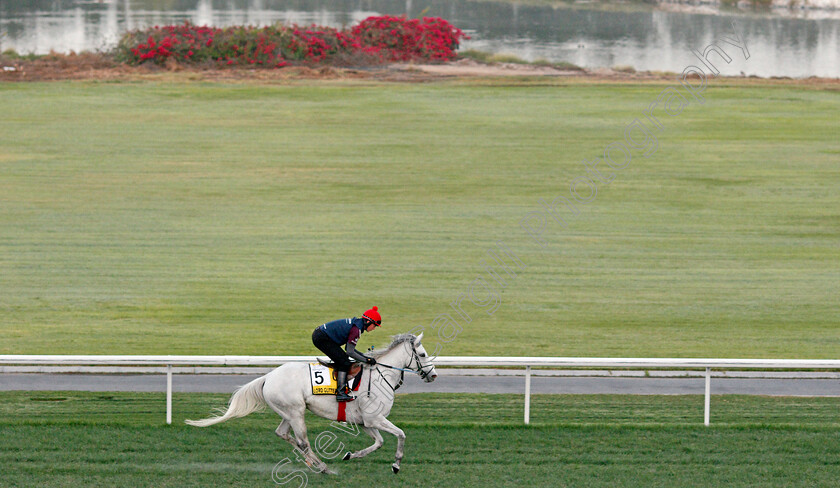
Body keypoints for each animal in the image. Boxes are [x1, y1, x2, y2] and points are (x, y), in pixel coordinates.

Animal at [182, 334, 434, 474]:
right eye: (422, 354)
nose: (433, 375)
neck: (382, 375)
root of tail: (268, 377)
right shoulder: (375, 419)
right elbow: (401, 435)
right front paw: (396, 465)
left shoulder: (366, 421)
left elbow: (379, 443)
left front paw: (351, 455)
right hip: (296, 412)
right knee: (303, 441)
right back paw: (322, 467)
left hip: (288, 412)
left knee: (282, 433)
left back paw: (312, 463)